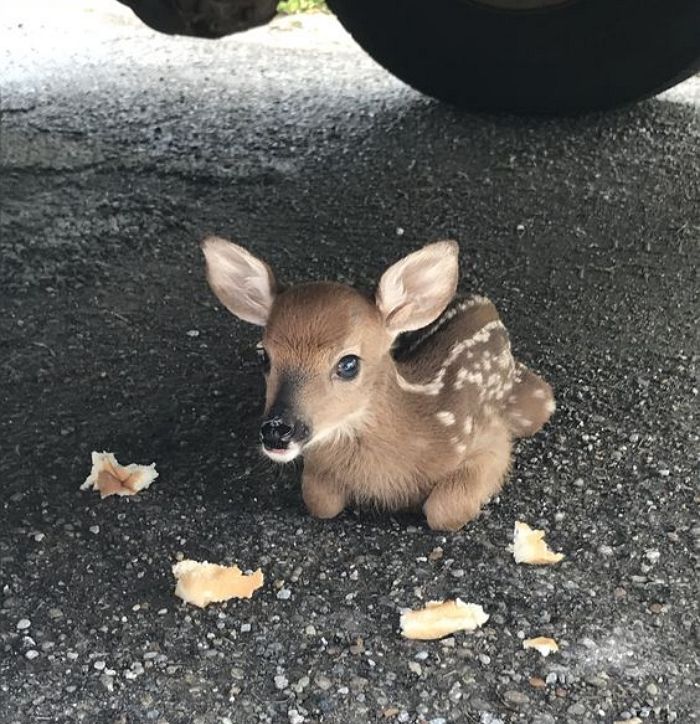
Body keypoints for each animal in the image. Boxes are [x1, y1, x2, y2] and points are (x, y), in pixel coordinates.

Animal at [201, 238, 552, 532]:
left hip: (534, 404)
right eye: (264, 355)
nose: (277, 429)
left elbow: (444, 510)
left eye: (348, 363)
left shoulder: (489, 439)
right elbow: (320, 501)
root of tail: (483, 302)